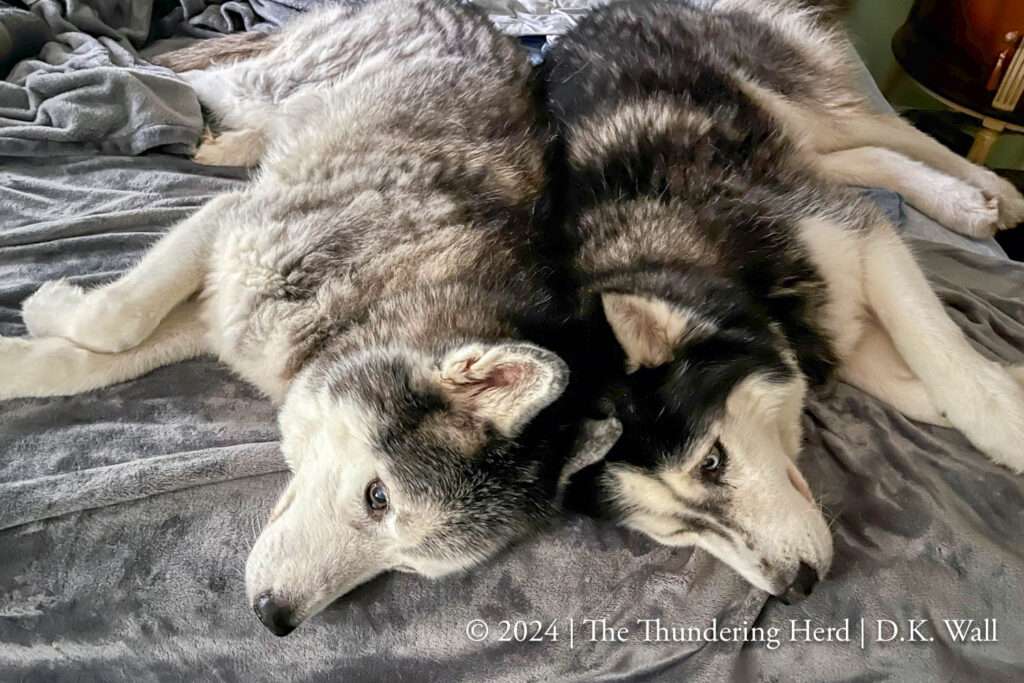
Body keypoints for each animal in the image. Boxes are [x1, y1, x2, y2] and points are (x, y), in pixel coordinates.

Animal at [0, 2, 606, 638]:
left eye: (405, 566)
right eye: (378, 498)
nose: (275, 620)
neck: (375, 305)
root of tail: (473, 16)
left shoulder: (220, 321)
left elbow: (90, 360)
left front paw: (15, 360)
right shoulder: (227, 227)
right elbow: (116, 322)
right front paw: (45, 307)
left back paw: (226, 145)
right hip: (266, 85)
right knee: (198, 72)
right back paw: (129, 73)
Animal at [548, 0, 1024, 602]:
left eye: (712, 462)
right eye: (675, 530)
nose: (795, 587)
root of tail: (596, 13)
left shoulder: (859, 240)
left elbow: (939, 352)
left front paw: (1007, 422)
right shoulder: (818, 323)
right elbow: (912, 387)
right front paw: (1013, 382)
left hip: (793, 99)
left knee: (892, 129)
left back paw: (986, 192)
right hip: (783, 146)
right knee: (861, 157)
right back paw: (958, 200)